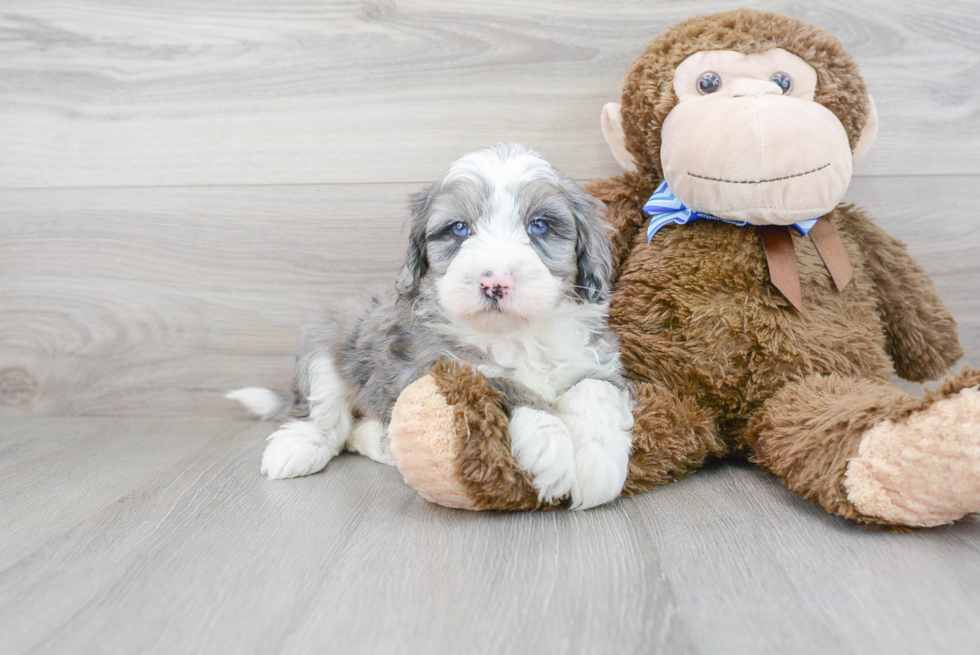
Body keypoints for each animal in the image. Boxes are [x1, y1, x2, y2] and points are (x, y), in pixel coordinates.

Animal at [226, 145, 632, 512]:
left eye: (540, 226)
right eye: (459, 229)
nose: (495, 282)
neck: (514, 335)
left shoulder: (594, 358)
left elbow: (597, 391)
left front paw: (597, 462)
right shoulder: (432, 367)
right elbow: (502, 383)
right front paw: (552, 443)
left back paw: (384, 445)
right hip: (324, 345)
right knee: (325, 418)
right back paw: (298, 446)